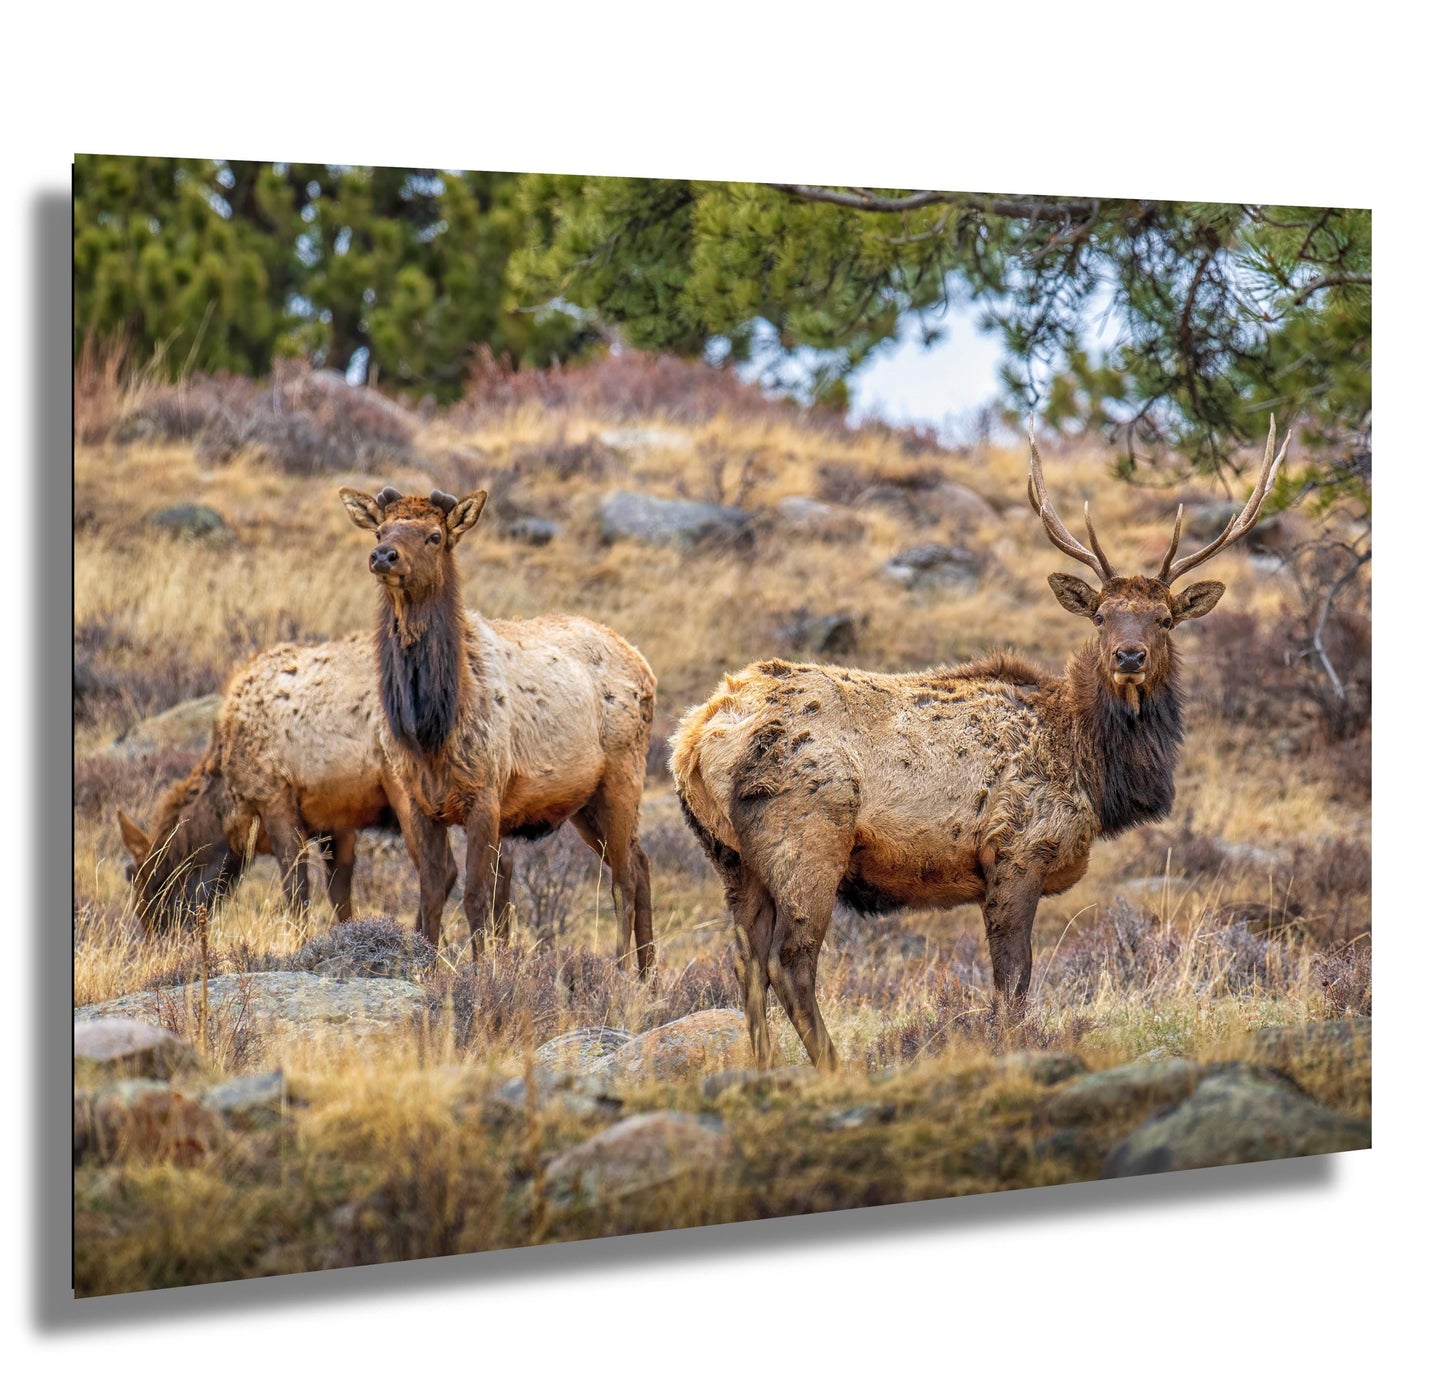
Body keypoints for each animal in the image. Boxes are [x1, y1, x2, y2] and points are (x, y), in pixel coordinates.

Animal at [117, 632, 459, 936]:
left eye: (160, 892)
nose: (159, 949)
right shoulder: (335, 820)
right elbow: (339, 895)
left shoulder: (275, 798)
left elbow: (296, 891)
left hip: (405, 788)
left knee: (439, 873)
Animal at [338, 483, 658, 975]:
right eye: (379, 528)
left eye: (435, 536)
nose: (383, 556)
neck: (429, 729)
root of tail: (643, 663)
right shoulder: (417, 800)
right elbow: (432, 893)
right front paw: (429, 970)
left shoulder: (485, 794)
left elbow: (477, 897)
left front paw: (480, 971)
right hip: (584, 803)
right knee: (641, 864)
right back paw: (649, 975)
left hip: (624, 776)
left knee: (623, 877)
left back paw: (622, 972)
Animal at [671, 419, 1290, 1070]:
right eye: (1100, 616)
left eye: (1165, 618)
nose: (1129, 656)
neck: (1094, 770)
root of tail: (695, 737)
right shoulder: (1017, 848)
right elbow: (1013, 982)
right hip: (807, 835)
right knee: (791, 960)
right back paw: (833, 1068)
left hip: (730, 855)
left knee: (746, 961)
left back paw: (765, 1067)